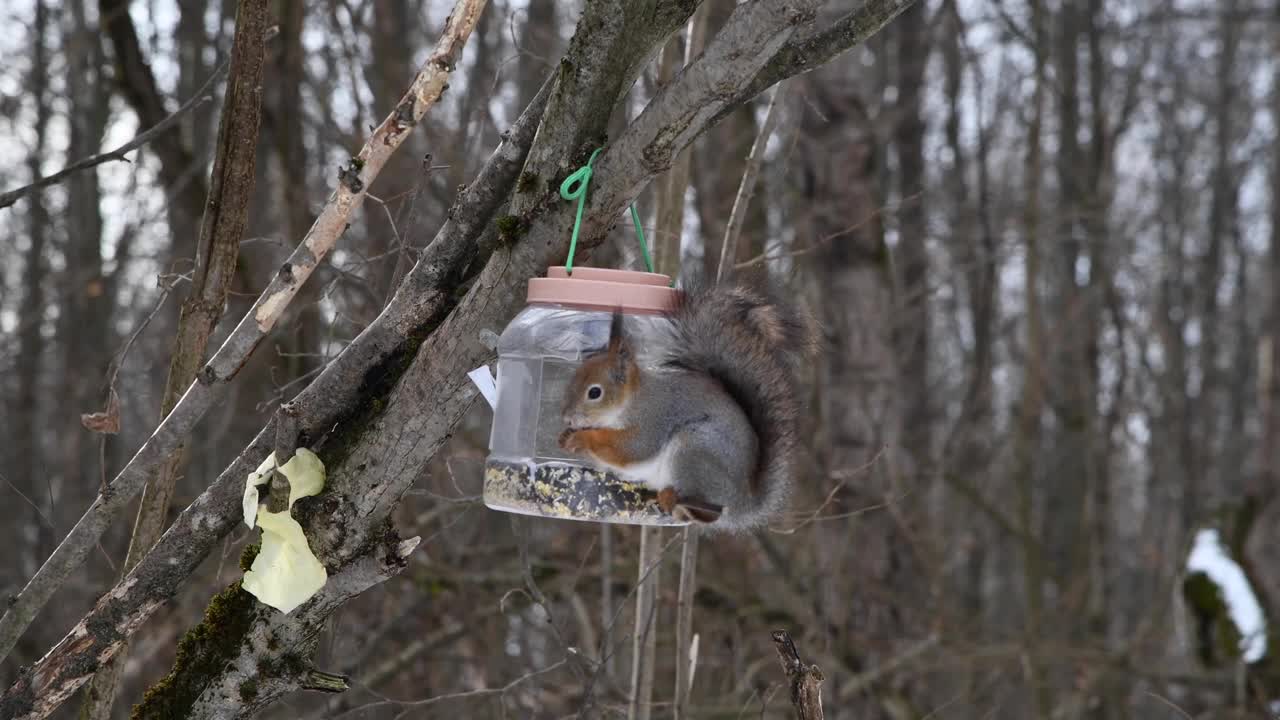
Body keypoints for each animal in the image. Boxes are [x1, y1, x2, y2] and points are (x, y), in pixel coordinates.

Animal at [555, 283, 814, 530]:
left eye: (594, 392)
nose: (567, 417)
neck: (632, 400)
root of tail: (743, 502)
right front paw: (566, 437)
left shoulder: (653, 418)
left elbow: (631, 448)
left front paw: (582, 438)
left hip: (694, 449)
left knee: (712, 507)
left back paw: (673, 498)